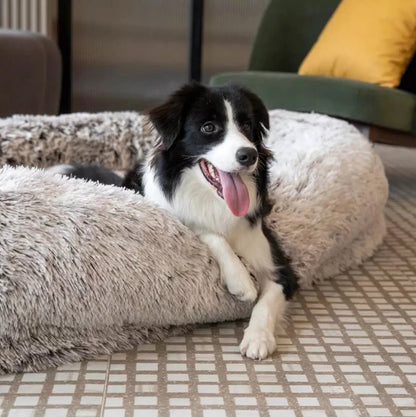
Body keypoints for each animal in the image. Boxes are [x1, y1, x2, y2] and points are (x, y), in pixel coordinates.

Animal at [51, 83, 300, 358]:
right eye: (209, 127)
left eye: (247, 125)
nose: (249, 154)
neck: (216, 204)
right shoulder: (179, 218)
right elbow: (209, 234)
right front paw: (240, 279)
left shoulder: (278, 265)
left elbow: (266, 302)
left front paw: (258, 337)